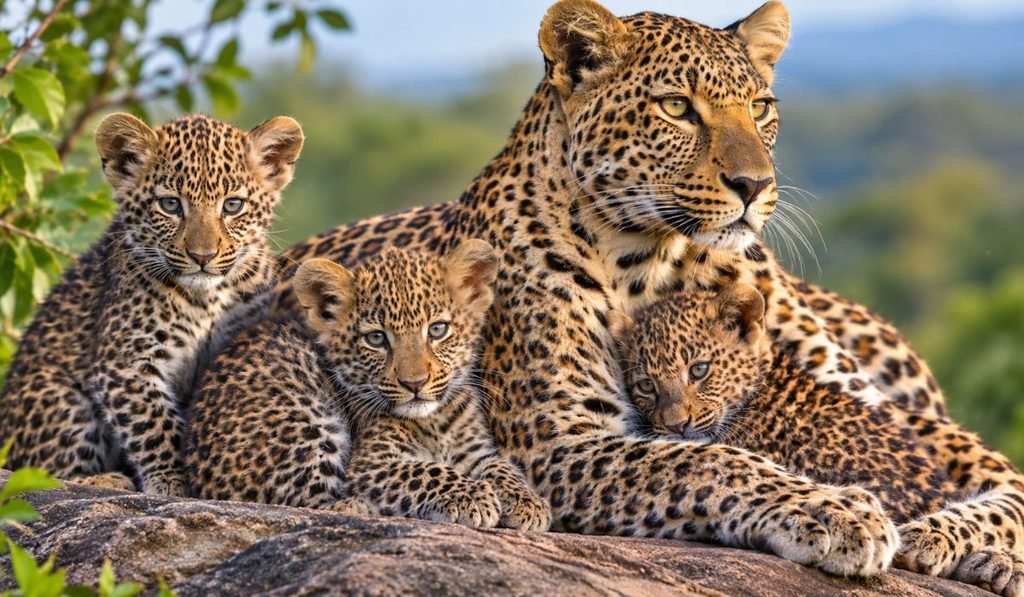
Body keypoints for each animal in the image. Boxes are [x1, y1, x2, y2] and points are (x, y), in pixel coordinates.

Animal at [0, 113, 304, 497]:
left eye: (233, 205)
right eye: (170, 205)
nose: (202, 256)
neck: (207, 299)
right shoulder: (125, 363)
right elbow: (155, 424)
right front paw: (172, 484)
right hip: (62, 401)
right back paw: (106, 479)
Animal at [186, 242, 551, 531]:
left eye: (438, 330)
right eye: (376, 339)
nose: (414, 384)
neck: (433, 421)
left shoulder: (474, 450)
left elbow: (501, 467)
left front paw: (528, 502)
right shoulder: (371, 464)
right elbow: (426, 471)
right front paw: (471, 496)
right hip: (307, 418)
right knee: (312, 500)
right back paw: (358, 505)